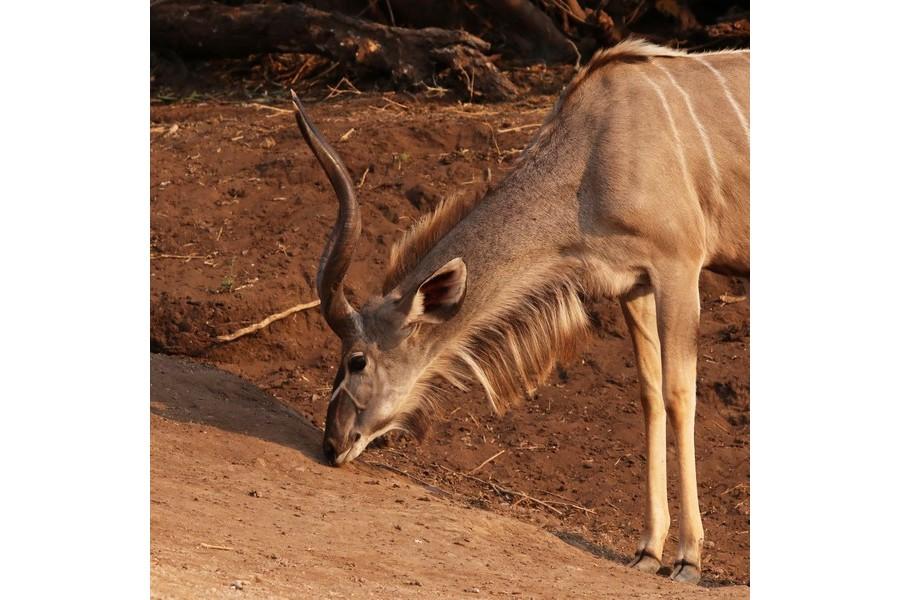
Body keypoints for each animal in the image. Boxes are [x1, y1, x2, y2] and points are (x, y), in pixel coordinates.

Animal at [288, 39, 744, 584]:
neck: (590, 156)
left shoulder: (679, 267)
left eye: (357, 360)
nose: (332, 444)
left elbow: (679, 395)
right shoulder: (634, 283)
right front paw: (648, 549)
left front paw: (688, 557)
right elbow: (651, 396)